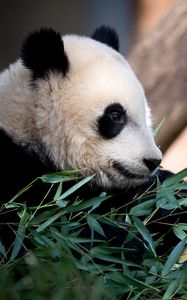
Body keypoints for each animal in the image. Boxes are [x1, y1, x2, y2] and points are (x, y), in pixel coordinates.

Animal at [0, 25, 186, 260]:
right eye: (115, 116)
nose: (153, 161)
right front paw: (123, 241)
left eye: (146, 115)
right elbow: (34, 238)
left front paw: (167, 197)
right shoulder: (13, 172)